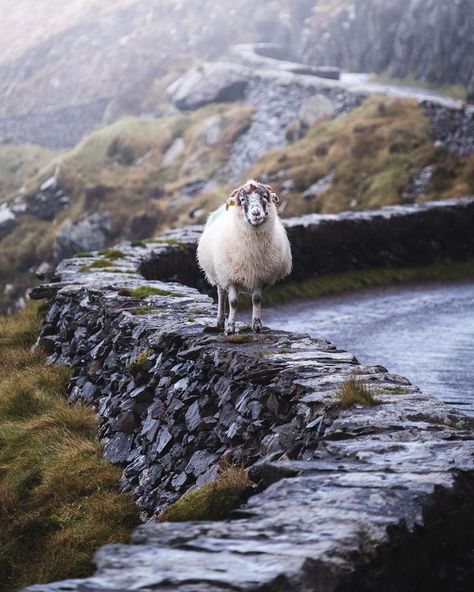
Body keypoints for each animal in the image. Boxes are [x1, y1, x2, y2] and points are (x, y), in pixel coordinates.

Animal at [196, 178, 292, 336]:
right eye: (242, 199)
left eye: (264, 196)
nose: (256, 213)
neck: (253, 247)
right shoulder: (230, 277)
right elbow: (233, 302)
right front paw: (230, 328)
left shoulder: (260, 276)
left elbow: (257, 300)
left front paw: (257, 325)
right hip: (218, 274)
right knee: (221, 294)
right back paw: (220, 322)